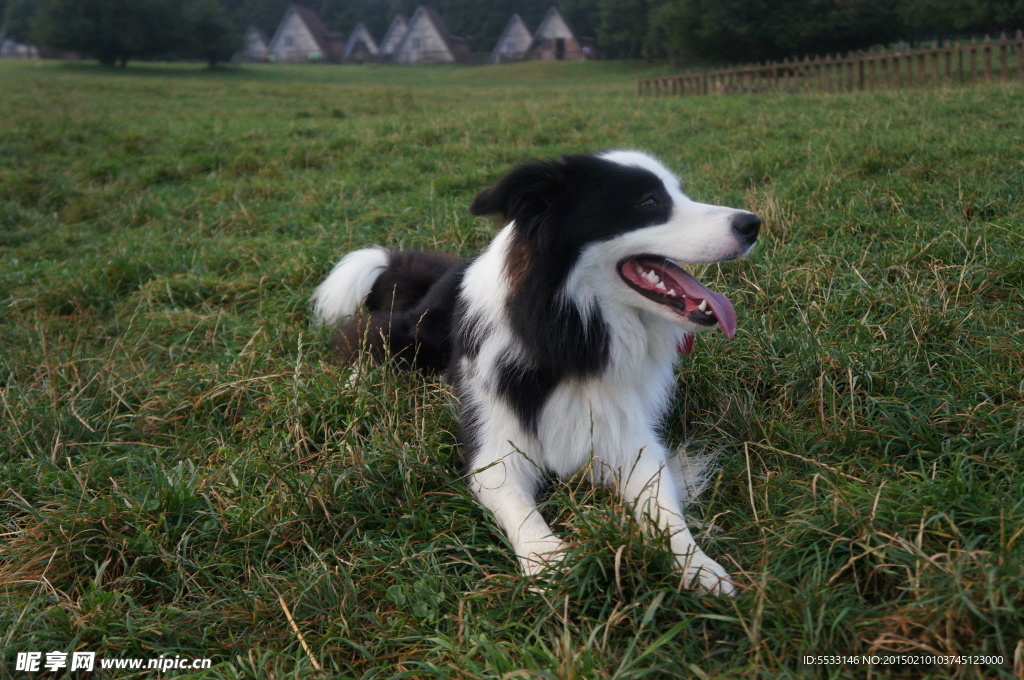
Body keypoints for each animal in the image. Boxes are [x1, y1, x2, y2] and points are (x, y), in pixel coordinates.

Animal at [311, 150, 761, 593]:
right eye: (650, 202)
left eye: (680, 192)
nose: (752, 224)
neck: (569, 335)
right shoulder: (493, 450)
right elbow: (522, 511)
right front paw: (550, 562)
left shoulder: (630, 436)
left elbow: (663, 508)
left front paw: (697, 566)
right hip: (420, 333)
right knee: (371, 336)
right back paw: (356, 387)